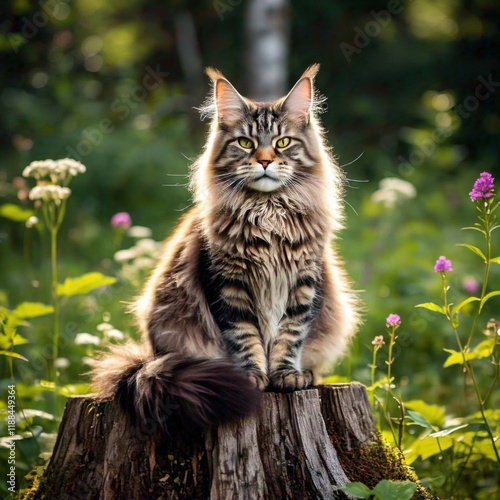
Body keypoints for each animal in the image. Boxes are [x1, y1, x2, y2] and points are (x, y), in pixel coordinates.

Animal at [92, 63, 362, 434]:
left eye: (283, 142)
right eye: (246, 143)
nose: (264, 161)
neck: (268, 212)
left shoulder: (305, 279)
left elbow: (290, 334)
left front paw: (285, 375)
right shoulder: (226, 282)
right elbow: (244, 334)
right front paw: (252, 376)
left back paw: (307, 374)